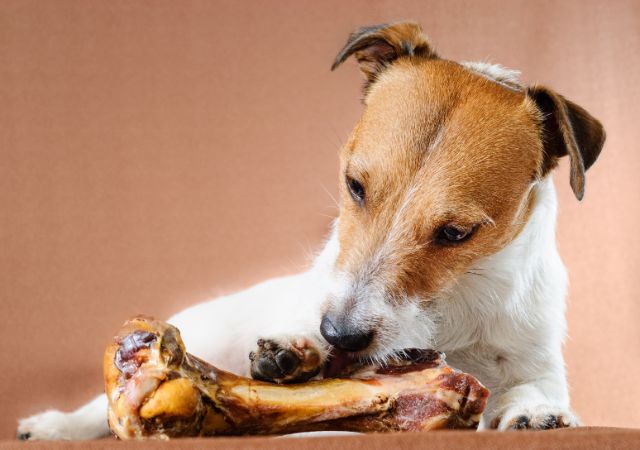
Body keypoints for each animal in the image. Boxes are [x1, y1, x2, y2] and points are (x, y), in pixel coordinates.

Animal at [16, 22, 604, 440]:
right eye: (355, 186)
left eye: (457, 233)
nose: (338, 334)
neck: (449, 312)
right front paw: (296, 350)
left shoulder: (534, 354)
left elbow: (534, 386)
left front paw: (535, 410)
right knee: (98, 406)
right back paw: (53, 426)